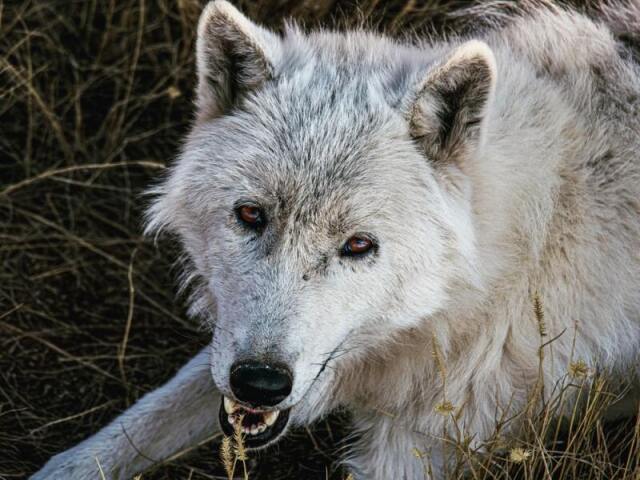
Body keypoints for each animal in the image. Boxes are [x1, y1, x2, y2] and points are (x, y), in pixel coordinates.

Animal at [31, 0, 640, 478]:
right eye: (250, 215)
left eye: (358, 245)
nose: (259, 383)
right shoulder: (230, 352)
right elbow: (125, 432)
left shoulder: (417, 447)